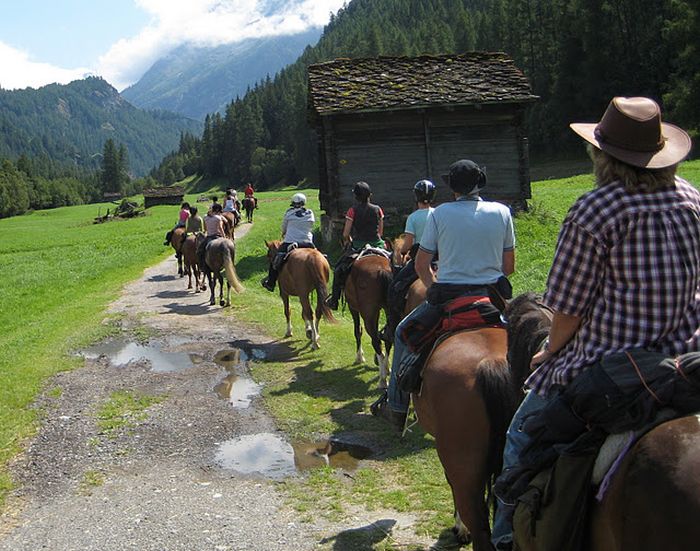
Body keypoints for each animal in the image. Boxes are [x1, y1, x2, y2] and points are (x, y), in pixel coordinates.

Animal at [344, 253, 394, 388]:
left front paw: (359, 357)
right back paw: (386, 369)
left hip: (369, 314)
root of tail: (382, 270)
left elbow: (357, 331)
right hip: (388, 310)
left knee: (376, 341)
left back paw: (382, 380)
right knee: (388, 339)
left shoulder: (353, 308)